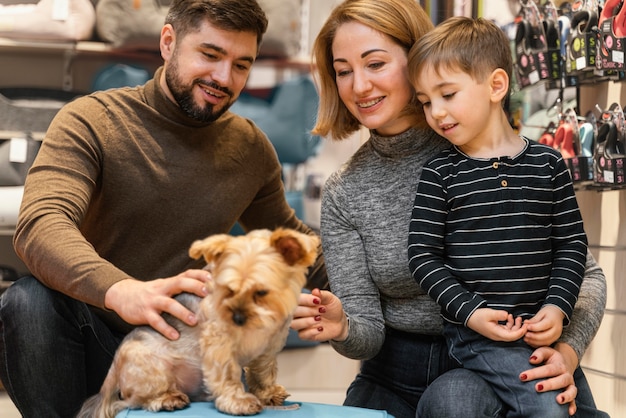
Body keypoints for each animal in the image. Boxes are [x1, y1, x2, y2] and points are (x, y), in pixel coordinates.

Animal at [78, 229, 320, 418]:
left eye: (261, 292)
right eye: (228, 290)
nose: (237, 318)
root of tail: (114, 368)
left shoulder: (269, 346)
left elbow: (263, 371)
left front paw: (267, 393)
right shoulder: (219, 343)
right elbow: (228, 373)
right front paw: (238, 401)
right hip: (151, 368)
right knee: (135, 401)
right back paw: (167, 399)